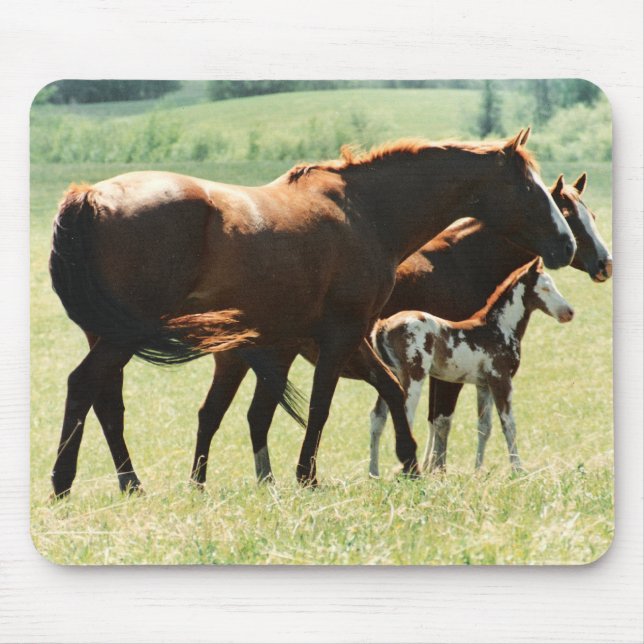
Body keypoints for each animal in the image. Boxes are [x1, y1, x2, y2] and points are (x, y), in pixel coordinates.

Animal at [370, 258, 574, 476]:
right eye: (545, 288)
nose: (569, 312)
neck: (498, 328)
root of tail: (383, 325)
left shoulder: (484, 385)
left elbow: (484, 427)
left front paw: (478, 471)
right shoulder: (501, 380)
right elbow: (509, 424)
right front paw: (518, 470)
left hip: (392, 376)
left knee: (378, 418)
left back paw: (374, 473)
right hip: (413, 377)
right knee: (405, 417)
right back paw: (409, 472)